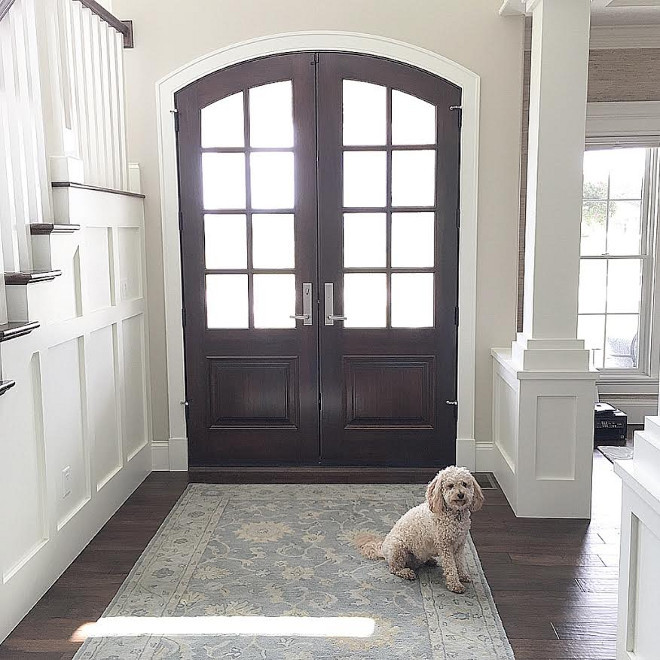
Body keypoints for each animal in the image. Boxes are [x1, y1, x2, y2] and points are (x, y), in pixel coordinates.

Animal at [356, 464, 484, 592]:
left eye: (464, 484)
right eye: (450, 486)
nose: (461, 494)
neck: (454, 514)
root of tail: (383, 550)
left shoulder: (460, 544)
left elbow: (460, 562)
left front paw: (463, 576)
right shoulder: (445, 547)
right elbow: (451, 567)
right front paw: (455, 584)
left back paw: (430, 561)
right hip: (398, 549)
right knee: (394, 568)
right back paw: (406, 572)